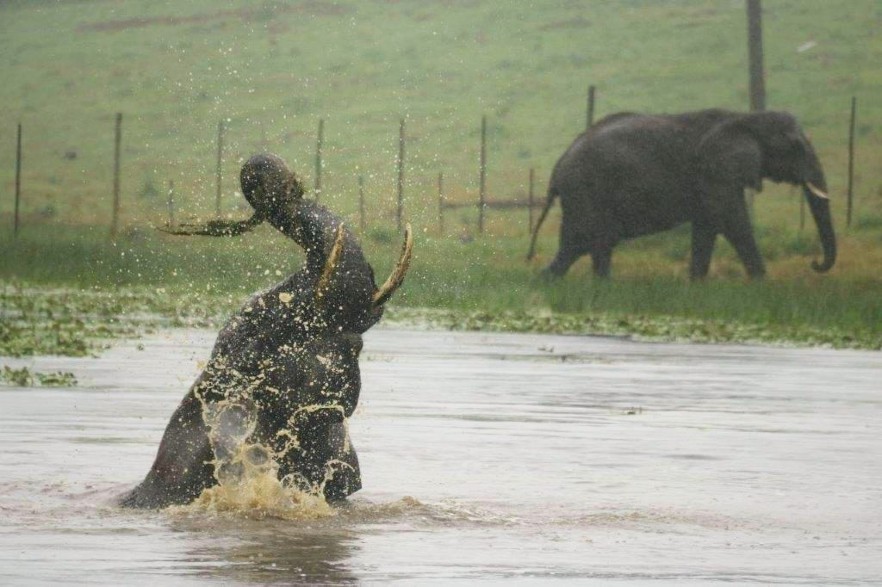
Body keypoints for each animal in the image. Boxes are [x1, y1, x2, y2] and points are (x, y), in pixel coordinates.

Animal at [524, 109, 836, 280]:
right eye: (797, 146)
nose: (815, 263)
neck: (744, 117)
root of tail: (557, 170)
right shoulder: (716, 173)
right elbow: (733, 222)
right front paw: (762, 283)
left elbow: (706, 228)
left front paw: (696, 286)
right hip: (587, 193)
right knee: (590, 244)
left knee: (577, 248)